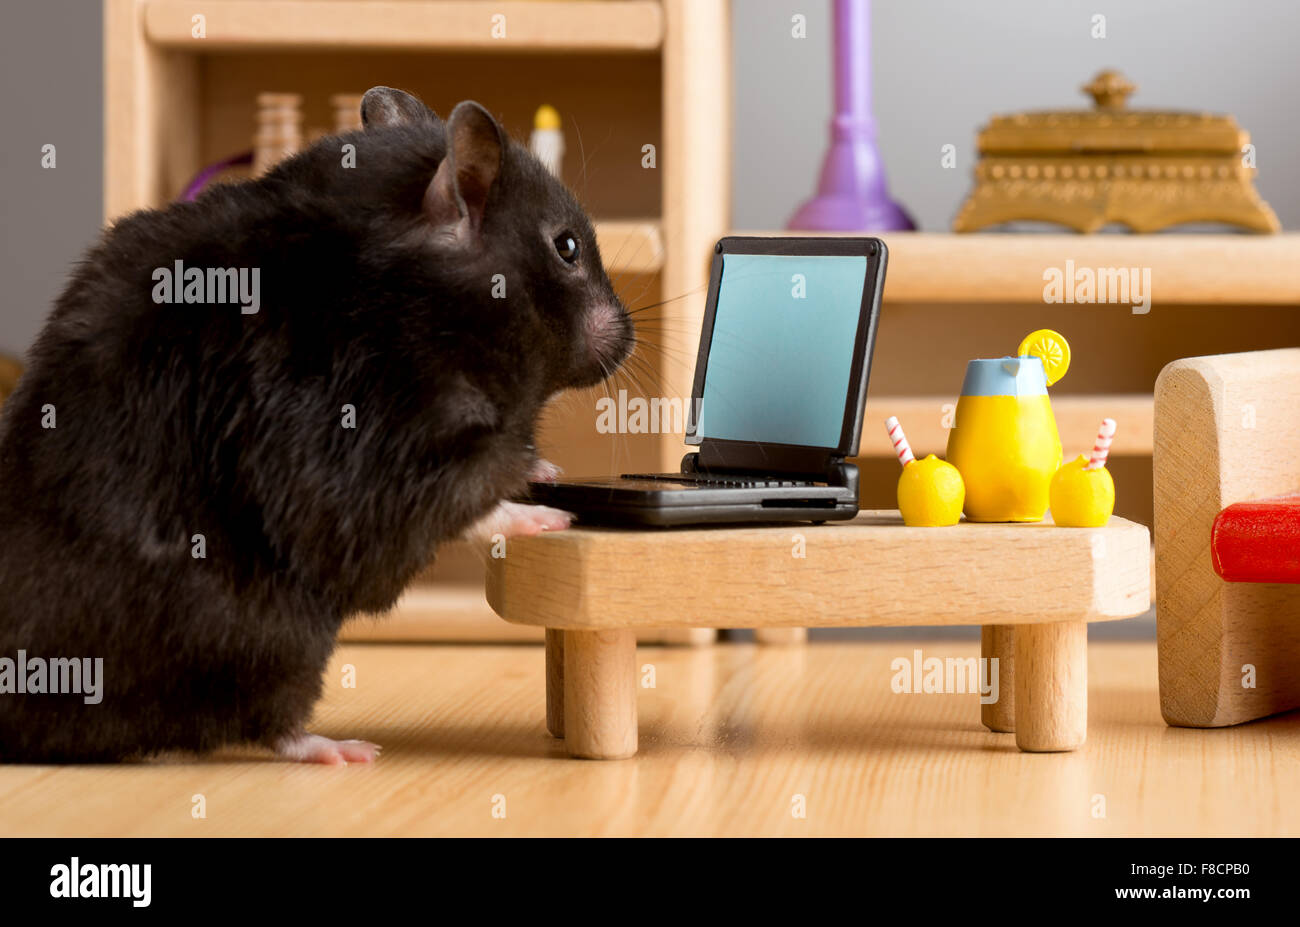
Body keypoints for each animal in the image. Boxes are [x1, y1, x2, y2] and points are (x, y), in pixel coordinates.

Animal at [0, 87, 631, 764]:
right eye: (567, 248)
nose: (629, 337)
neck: (417, 290)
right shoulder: (355, 428)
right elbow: (441, 501)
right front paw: (544, 514)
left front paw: (545, 468)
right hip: (271, 632)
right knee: (267, 715)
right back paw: (341, 750)